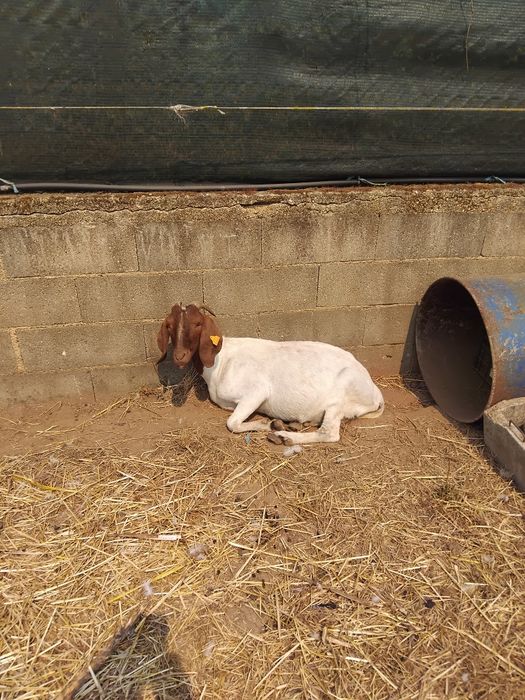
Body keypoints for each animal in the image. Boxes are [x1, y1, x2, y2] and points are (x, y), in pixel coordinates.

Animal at [157, 303, 384, 445]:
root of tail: (375, 393)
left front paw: (266, 424)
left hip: (341, 392)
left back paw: (284, 436)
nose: (179, 356)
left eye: (197, 323)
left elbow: (232, 423)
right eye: (170, 325)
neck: (220, 361)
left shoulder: (256, 392)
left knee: (328, 433)